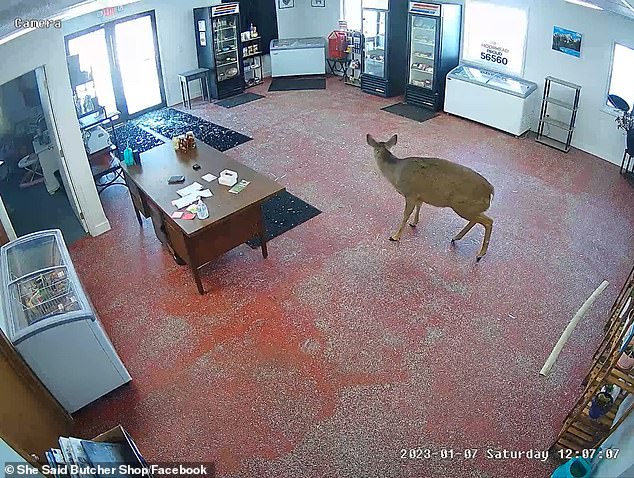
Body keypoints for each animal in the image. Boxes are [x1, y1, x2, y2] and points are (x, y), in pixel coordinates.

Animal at [366, 134, 494, 262]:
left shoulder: (410, 194)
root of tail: (491, 191)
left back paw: (479, 254)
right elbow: (419, 206)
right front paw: (414, 223)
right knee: (478, 220)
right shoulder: (419, 195)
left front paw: (395, 236)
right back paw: (456, 238)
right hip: (469, 207)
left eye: (375, 149)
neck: (396, 172)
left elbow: (405, 215)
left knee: (488, 221)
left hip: (463, 205)